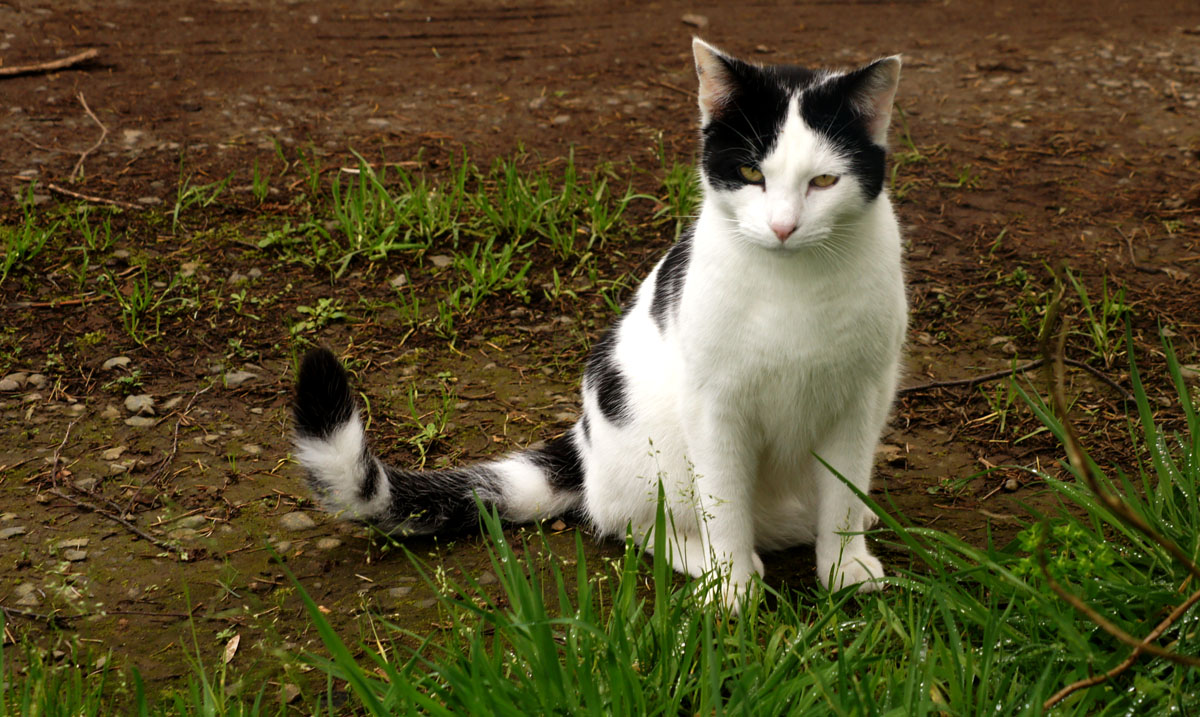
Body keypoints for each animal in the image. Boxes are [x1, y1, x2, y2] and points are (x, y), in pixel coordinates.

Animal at [295, 39, 902, 609]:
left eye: (823, 181)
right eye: (751, 173)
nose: (782, 227)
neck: (791, 285)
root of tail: (584, 444)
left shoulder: (862, 400)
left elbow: (843, 494)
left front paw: (846, 568)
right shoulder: (714, 408)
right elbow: (723, 503)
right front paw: (732, 588)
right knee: (626, 522)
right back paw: (708, 559)